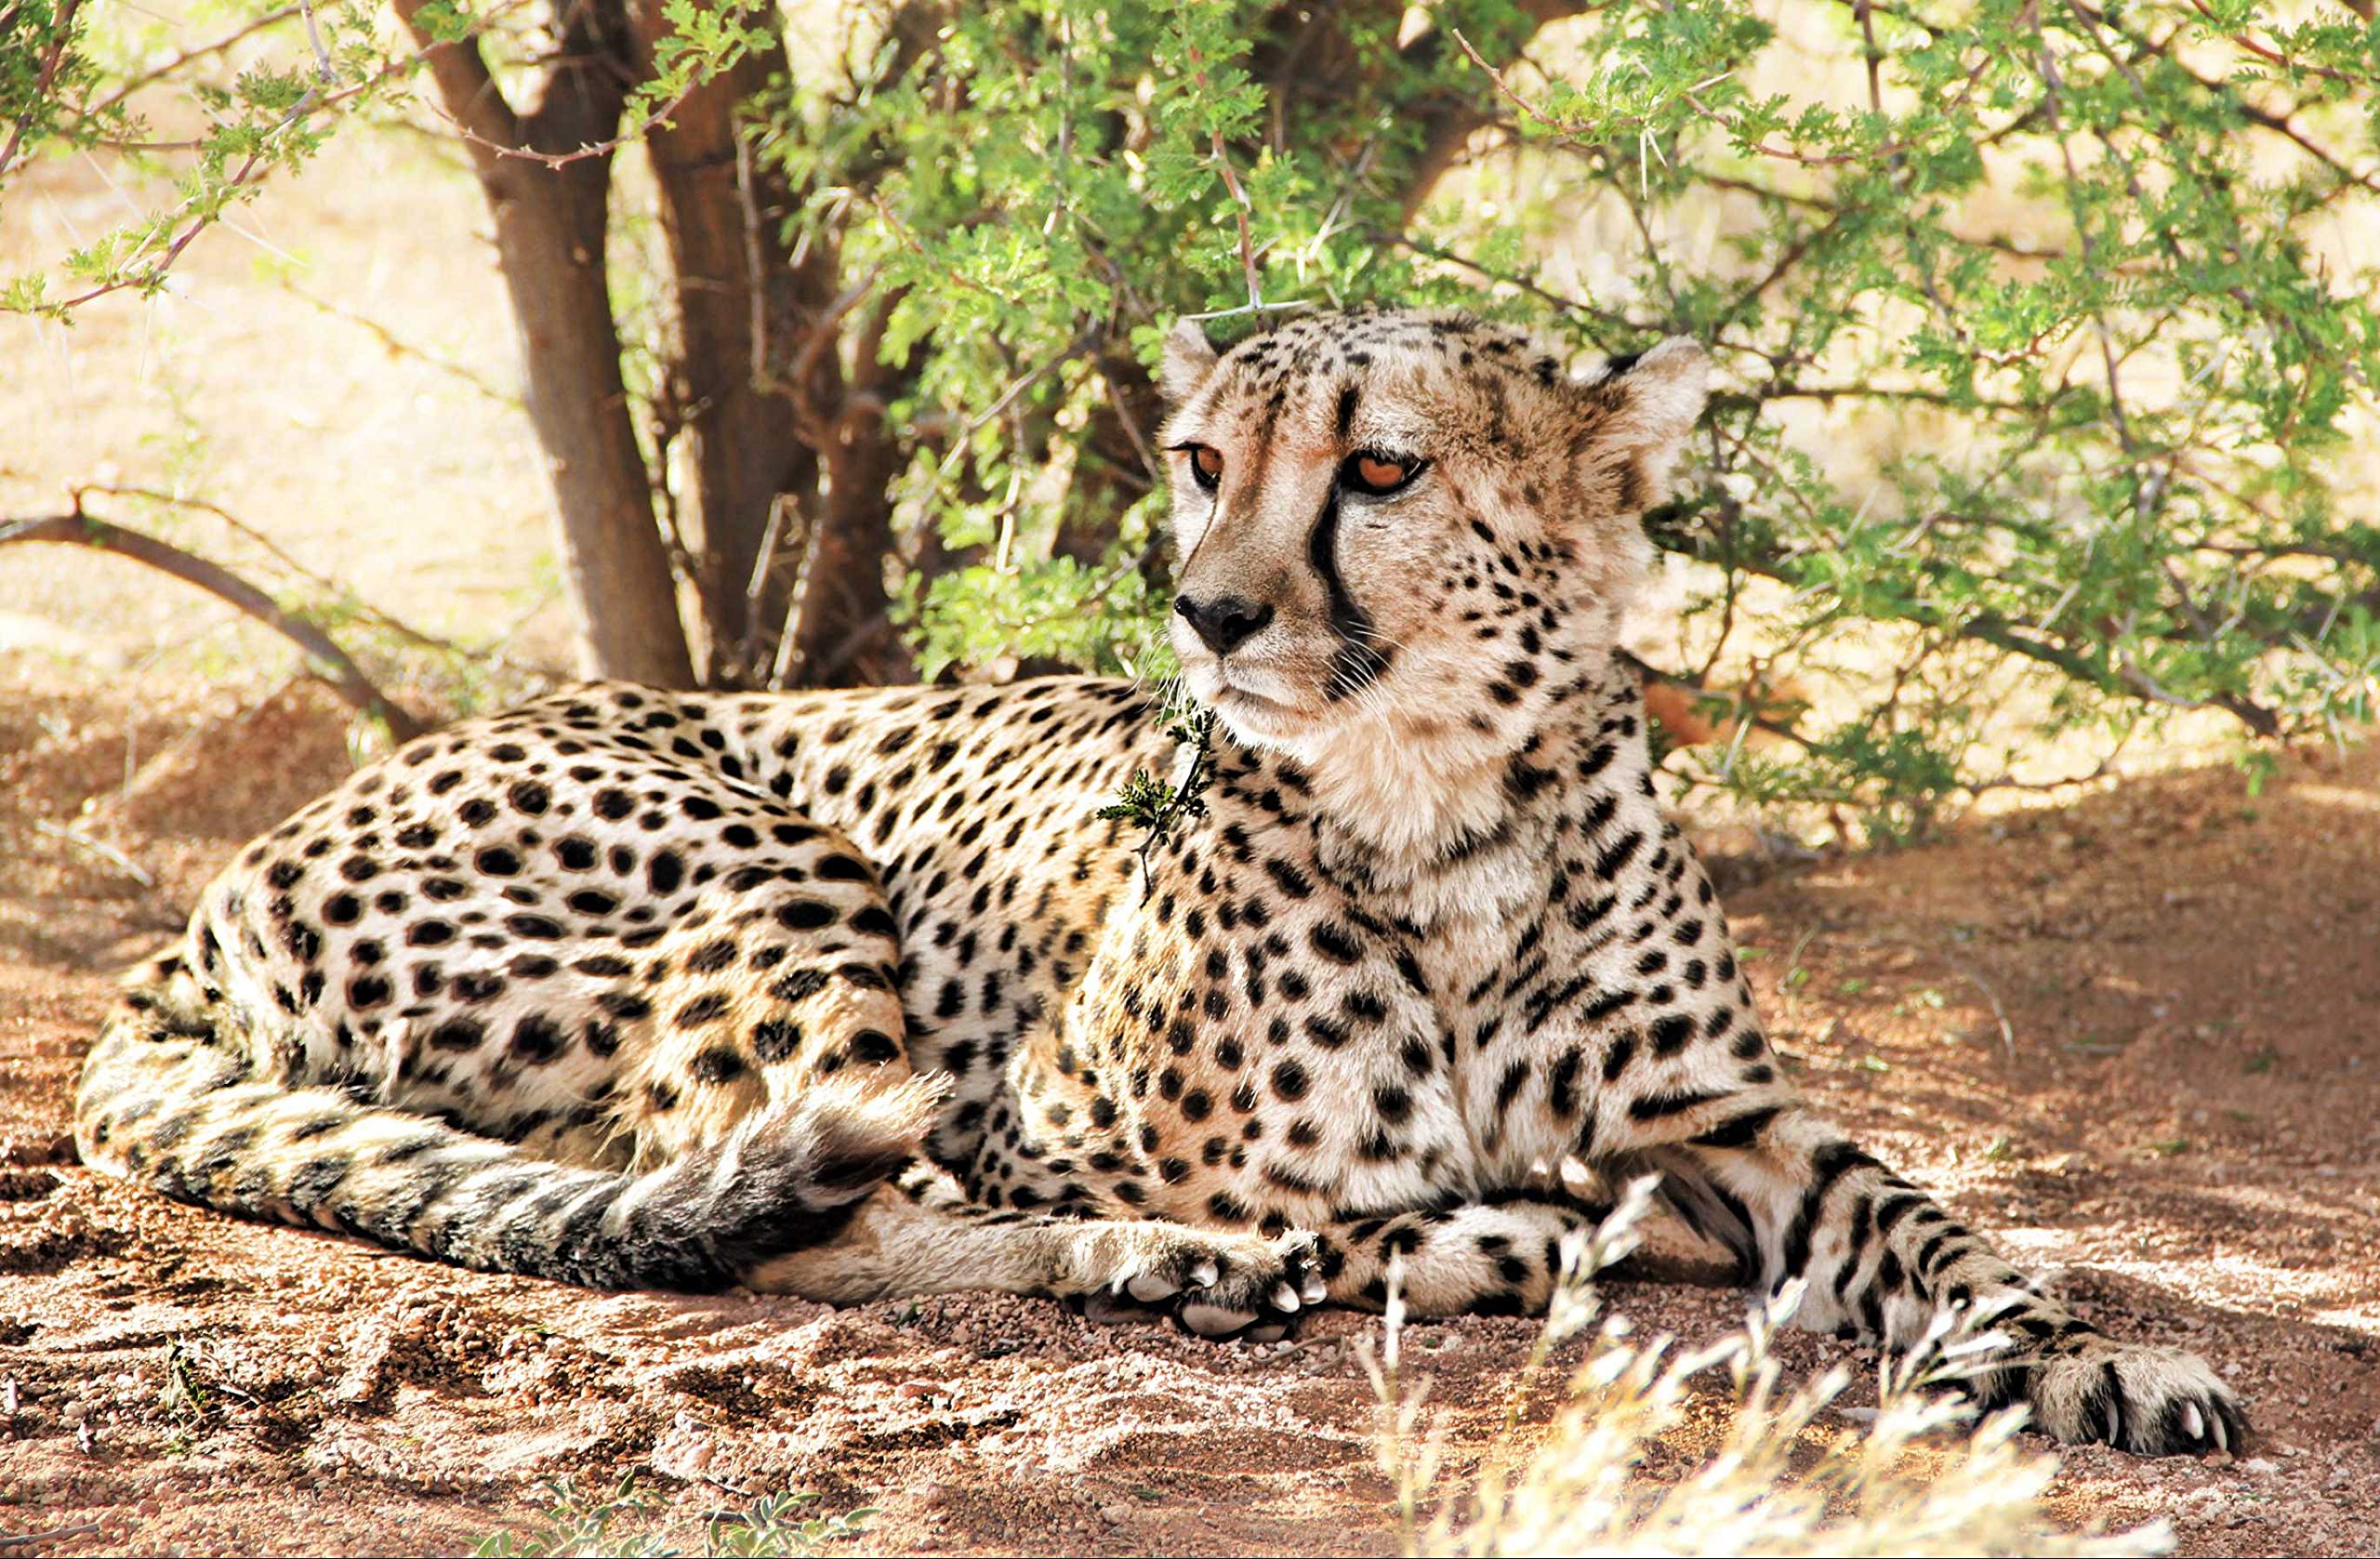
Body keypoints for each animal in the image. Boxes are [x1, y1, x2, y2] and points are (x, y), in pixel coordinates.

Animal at [74, 305, 2243, 1456]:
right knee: (767, 1199)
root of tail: (206, 904)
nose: (1204, 610)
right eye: (1205, 457)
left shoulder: (1722, 1117)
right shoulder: (1019, 1115)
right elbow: (1313, 1202)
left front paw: (2091, 1350)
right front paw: (1387, 1239)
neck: (1440, 805)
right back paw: (1206, 1265)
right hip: (769, 861)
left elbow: (1930, 1222)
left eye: (1379, 469)